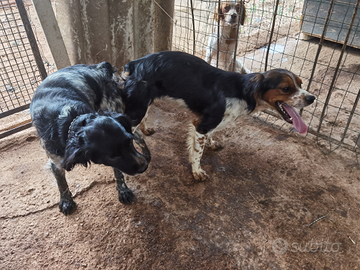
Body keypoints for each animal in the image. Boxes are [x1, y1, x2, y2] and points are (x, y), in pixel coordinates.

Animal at [29, 61, 150, 215]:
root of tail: (100, 66)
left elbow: (119, 172)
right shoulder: (55, 161)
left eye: (128, 143)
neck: (70, 121)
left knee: (139, 135)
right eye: (112, 157)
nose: (144, 166)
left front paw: (123, 190)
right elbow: (61, 182)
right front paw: (66, 201)